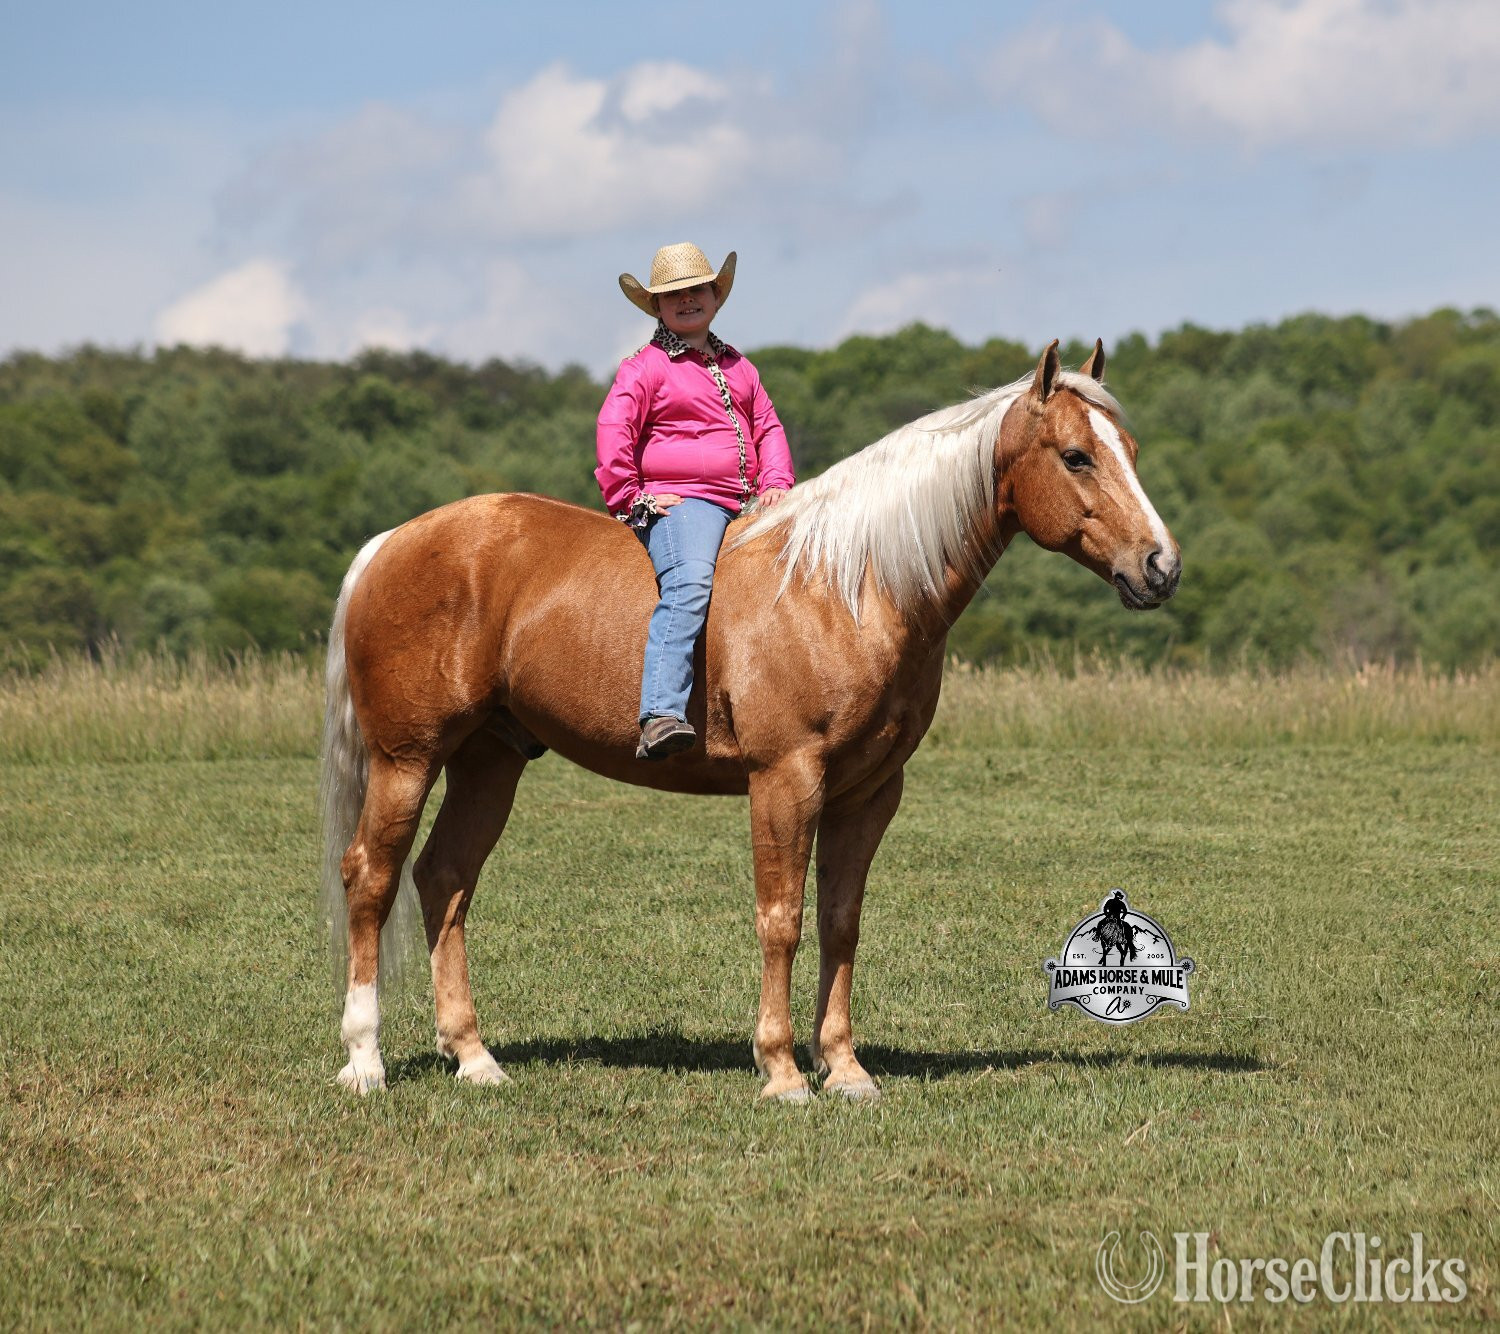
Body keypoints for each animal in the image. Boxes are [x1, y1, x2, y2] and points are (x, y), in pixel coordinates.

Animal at [319, 339, 1180, 1103]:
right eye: (1076, 455)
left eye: (1133, 449)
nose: (1161, 566)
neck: (847, 586)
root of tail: (391, 543)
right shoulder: (785, 780)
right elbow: (781, 920)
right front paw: (783, 1071)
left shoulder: (868, 794)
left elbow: (840, 922)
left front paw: (846, 1069)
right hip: (407, 759)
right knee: (372, 879)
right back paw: (364, 1061)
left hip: (488, 761)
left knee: (445, 879)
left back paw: (474, 1058)